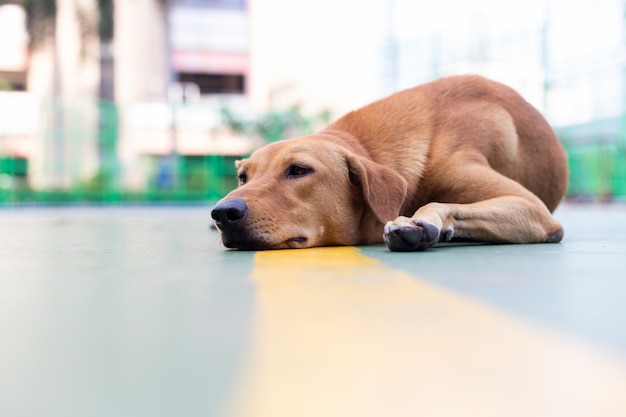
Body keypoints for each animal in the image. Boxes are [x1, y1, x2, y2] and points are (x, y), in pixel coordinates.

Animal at [212, 75, 568, 250]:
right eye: (243, 177)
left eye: (299, 170)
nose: (222, 213)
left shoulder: (534, 209)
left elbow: (440, 204)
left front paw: (418, 222)